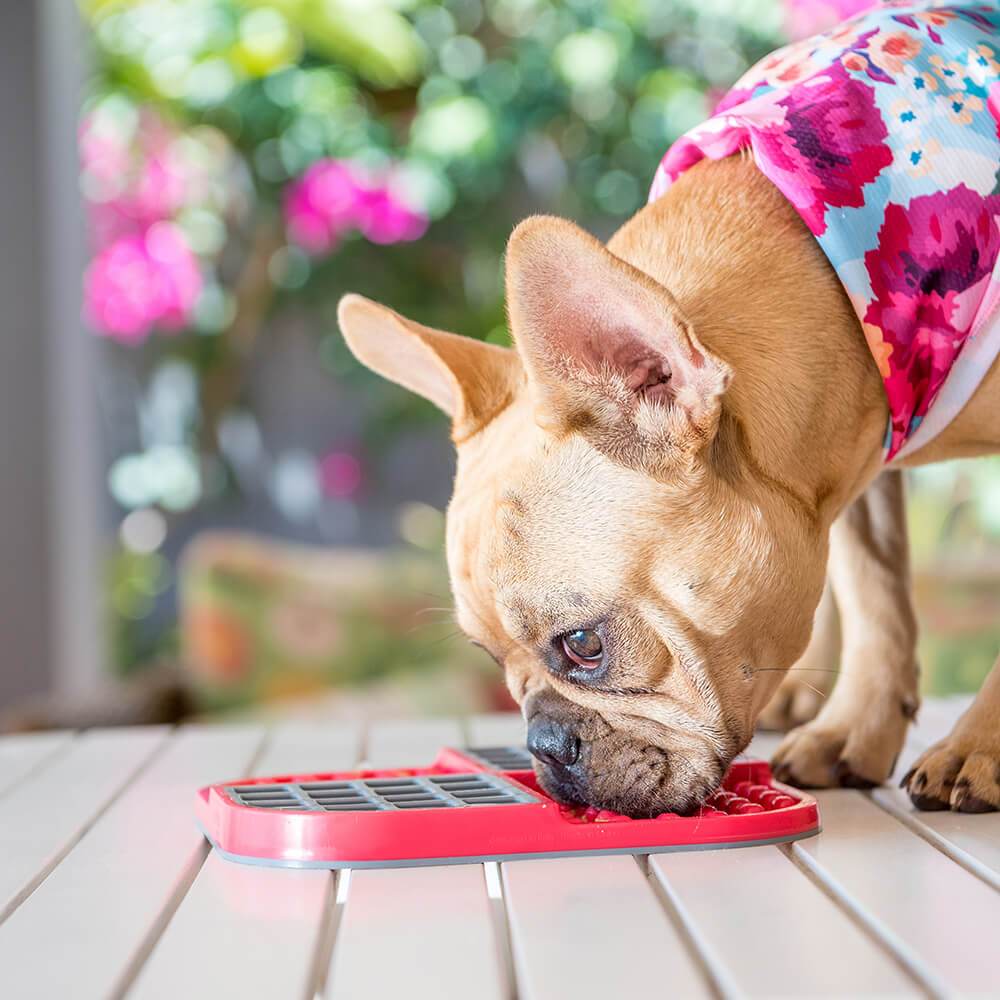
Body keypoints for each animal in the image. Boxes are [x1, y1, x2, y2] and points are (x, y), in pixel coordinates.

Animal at [338, 3, 1000, 816]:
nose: (543, 746)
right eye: (493, 658)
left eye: (585, 646)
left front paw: (977, 747)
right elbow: (874, 590)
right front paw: (858, 728)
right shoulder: (863, 456)